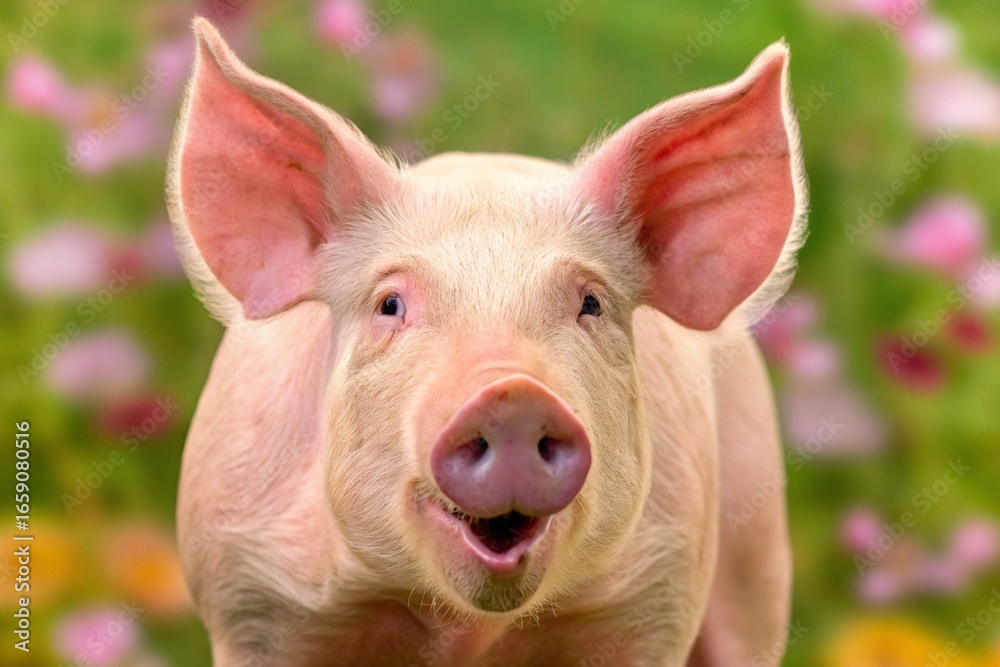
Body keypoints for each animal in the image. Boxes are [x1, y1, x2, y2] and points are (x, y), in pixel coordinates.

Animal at [167, 18, 805, 667]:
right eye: (389, 304)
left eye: (591, 303)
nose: (512, 396)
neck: (463, 629)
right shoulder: (247, 596)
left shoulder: (659, 596)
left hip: (755, 542)